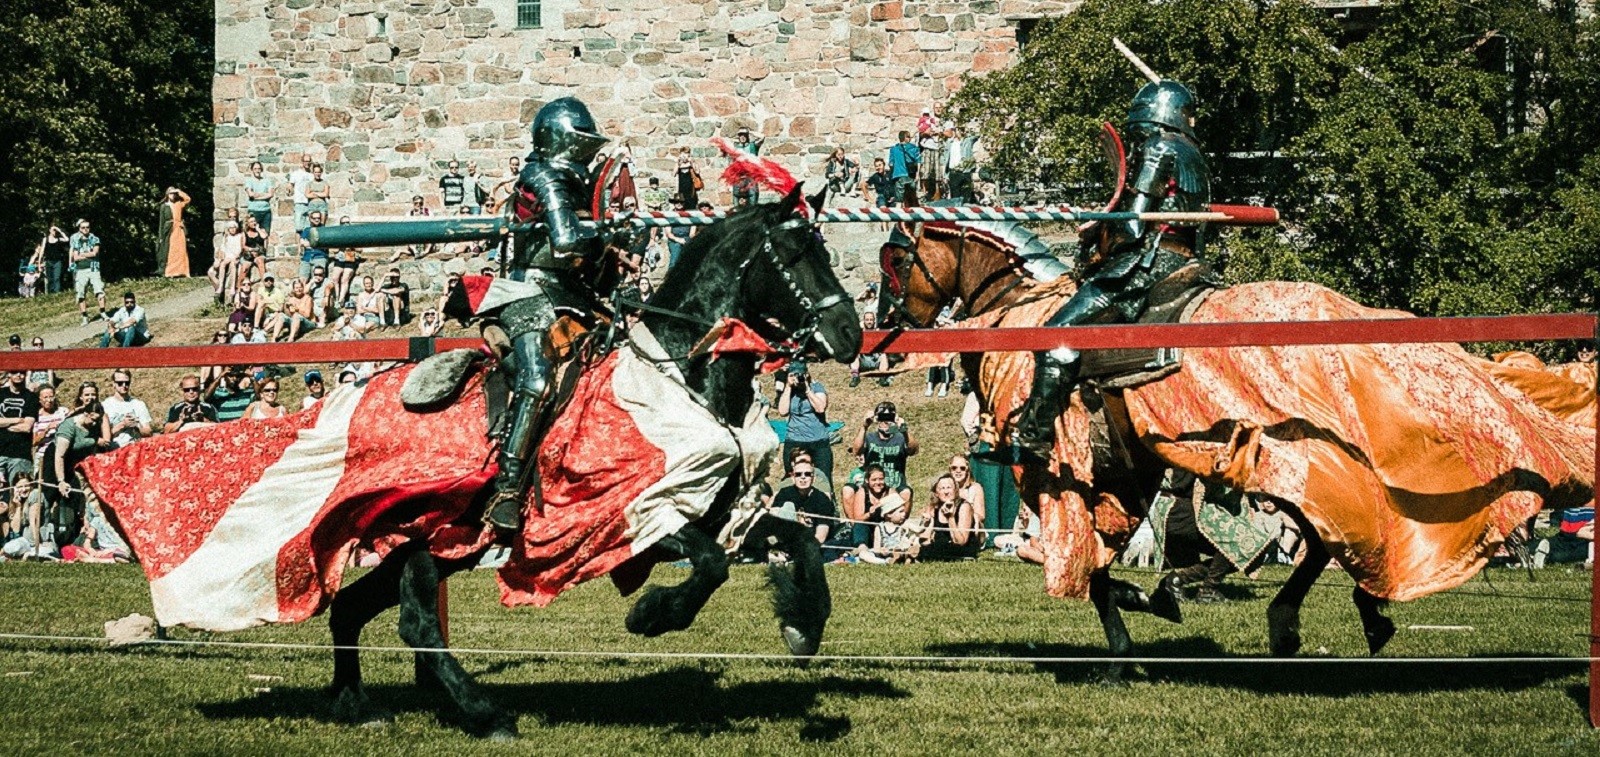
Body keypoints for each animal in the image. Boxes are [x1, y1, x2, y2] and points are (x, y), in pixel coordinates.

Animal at [323, 188, 864, 736]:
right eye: (794, 254)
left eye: (823, 250)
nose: (849, 333)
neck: (686, 382)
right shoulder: (634, 518)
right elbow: (712, 564)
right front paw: (653, 613)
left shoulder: (722, 515)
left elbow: (802, 542)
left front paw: (803, 626)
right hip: (428, 540)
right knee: (415, 621)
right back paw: (484, 712)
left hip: (445, 546)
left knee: (353, 607)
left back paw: (359, 704)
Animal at [883, 220, 1593, 662]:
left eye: (898, 259)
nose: (887, 326)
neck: (1017, 311)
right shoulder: (1129, 473)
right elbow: (1116, 554)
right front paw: (1150, 600)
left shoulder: (1065, 472)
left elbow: (1094, 562)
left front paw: (1129, 634)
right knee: (1326, 536)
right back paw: (1336, 613)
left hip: (1285, 454)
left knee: (1321, 535)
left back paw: (1314, 611)